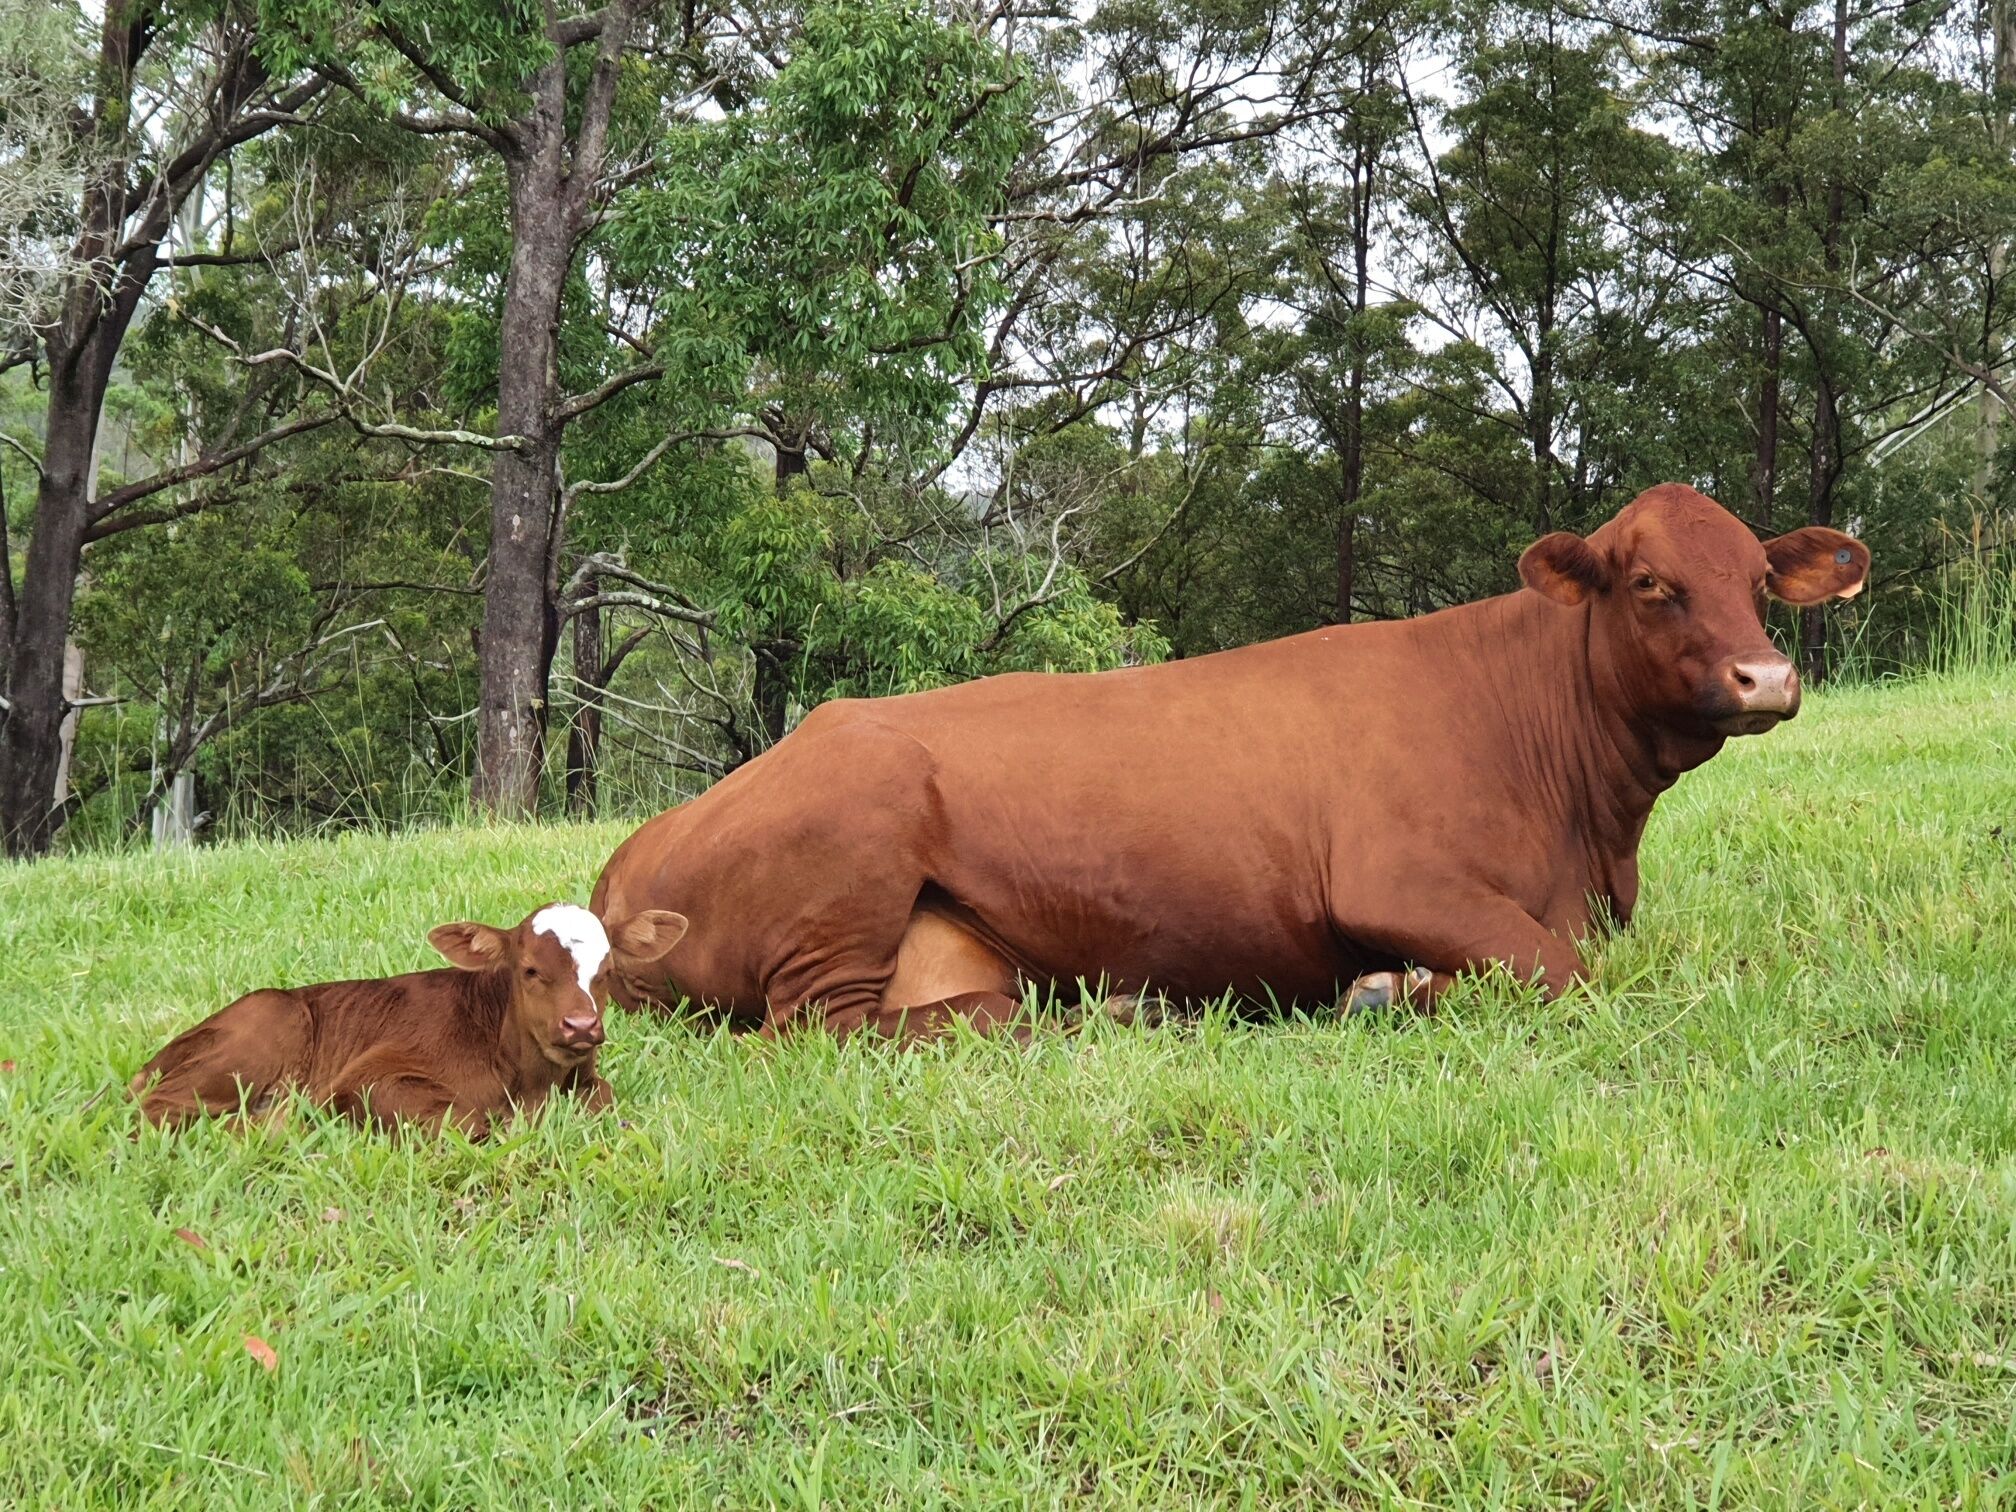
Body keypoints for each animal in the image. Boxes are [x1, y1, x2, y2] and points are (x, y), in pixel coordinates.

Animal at [134, 899, 689, 1137]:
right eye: (530, 969)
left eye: (608, 971)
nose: (581, 1027)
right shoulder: (363, 1078)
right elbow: (467, 1117)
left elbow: (604, 1097)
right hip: (270, 1026)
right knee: (159, 1108)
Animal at [588, 487, 1862, 1040]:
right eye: (1652, 583)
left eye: (1756, 578)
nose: (1768, 678)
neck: (1590, 826)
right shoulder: (1395, 878)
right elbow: (1560, 971)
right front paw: (1385, 989)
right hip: (855, 844)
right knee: (829, 1026)